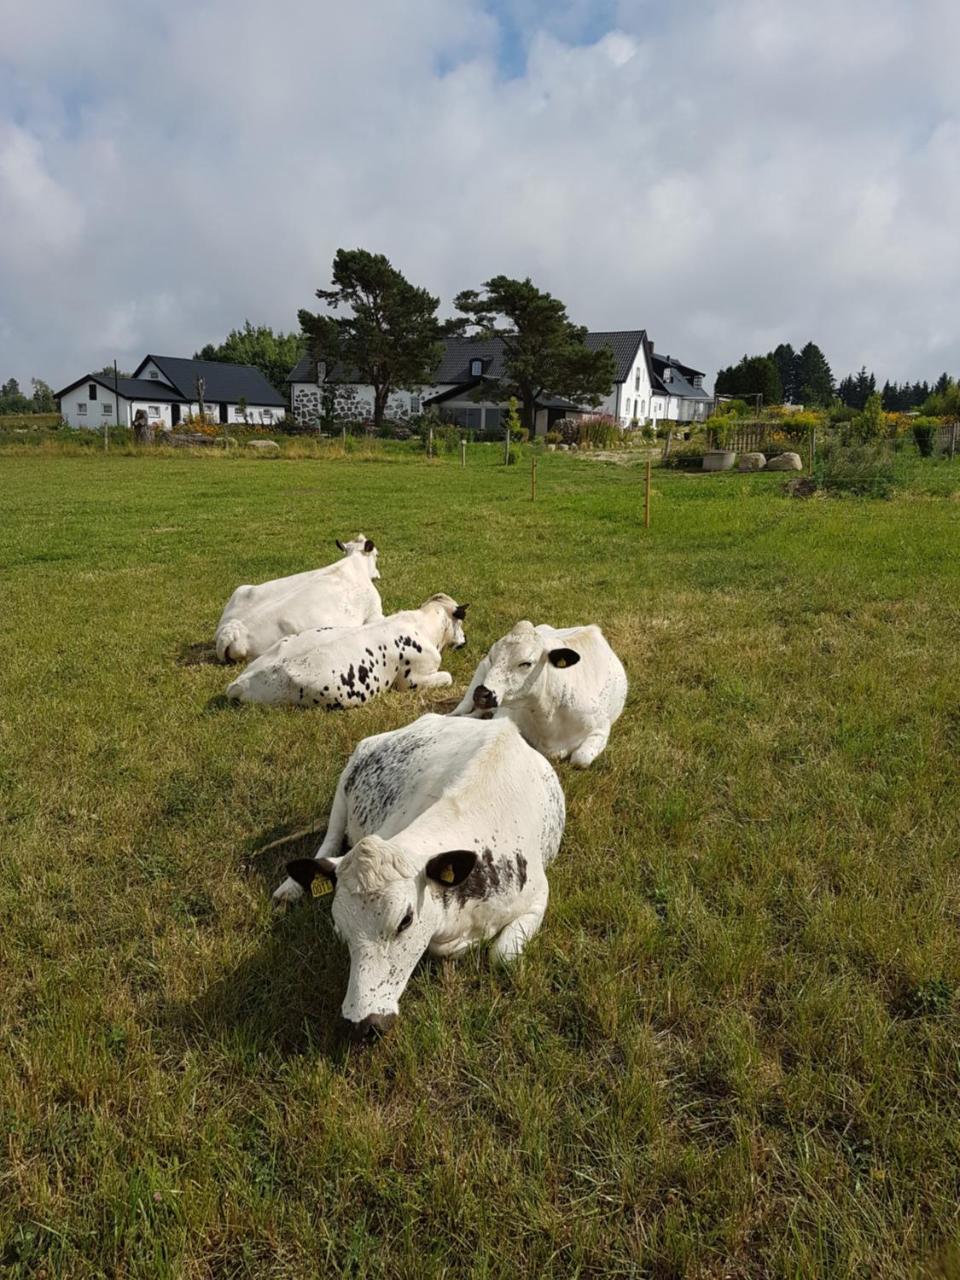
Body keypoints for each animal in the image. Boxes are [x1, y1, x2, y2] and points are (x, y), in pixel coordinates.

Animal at [213, 535, 384, 665]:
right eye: (377, 555)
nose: (378, 575)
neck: (354, 564)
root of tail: (233, 629)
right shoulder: (374, 612)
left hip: (241, 590)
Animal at [222, 591, 471, 706]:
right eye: (461, 620)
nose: (465, 640)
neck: (422, 624)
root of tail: (240, 681)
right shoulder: (412, 680)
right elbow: (447, 676)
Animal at [273, 711, 568, 1039]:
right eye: (342, 924)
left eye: (405, 920)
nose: (363, 1023)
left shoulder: (539, 895)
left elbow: (501, 956)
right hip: (346, 782)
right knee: (331, 837)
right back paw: (290, 888)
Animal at [453, 622, 632, 762]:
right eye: (492, 657)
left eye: (526, 663)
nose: (482, 694)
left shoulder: (601, 728)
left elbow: (580, 758)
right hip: (480, 671)